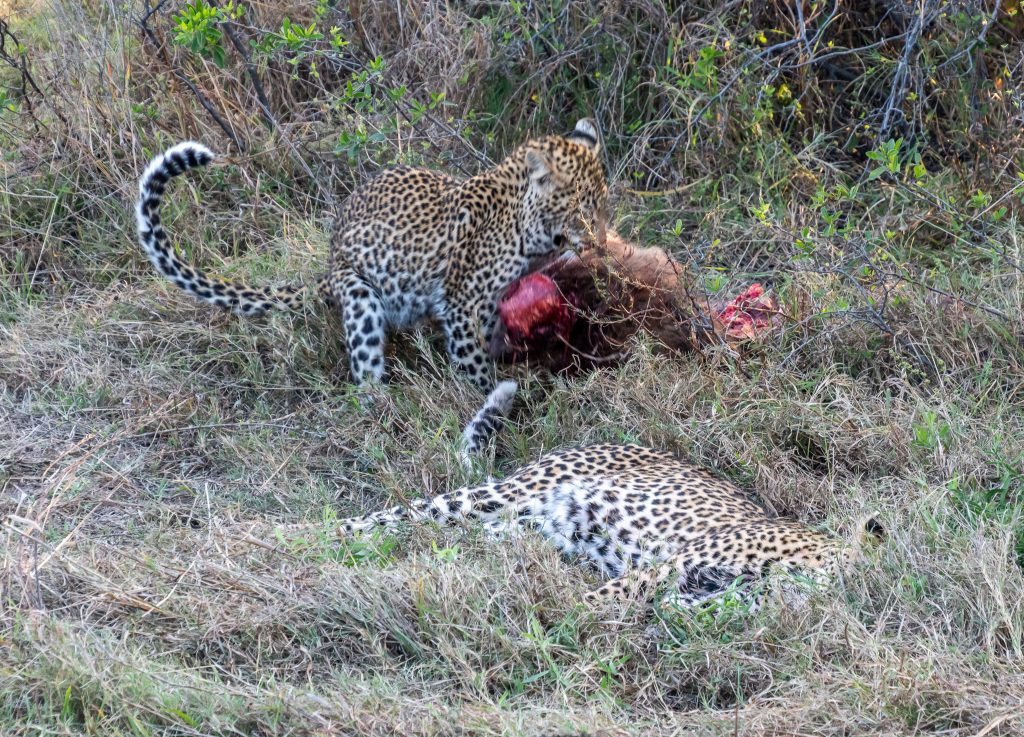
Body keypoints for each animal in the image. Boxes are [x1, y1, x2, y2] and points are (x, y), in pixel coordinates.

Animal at [134, 119, 609, 396]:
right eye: (581, 209)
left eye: (604, 204)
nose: (602, 241)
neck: (526, 228)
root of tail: (328, 267)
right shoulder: (462, 306)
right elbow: (476, 364)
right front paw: (495, 399)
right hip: (361, 298)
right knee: (364, 374)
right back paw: (382, 404)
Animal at [280, 443, 884, 610]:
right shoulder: (680, 564)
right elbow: (605, 599)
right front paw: (564, 626)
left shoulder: (696, 592)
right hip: (498, 495)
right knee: (395, 516)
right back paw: (286, 537)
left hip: (517, 530)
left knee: (437, 540)